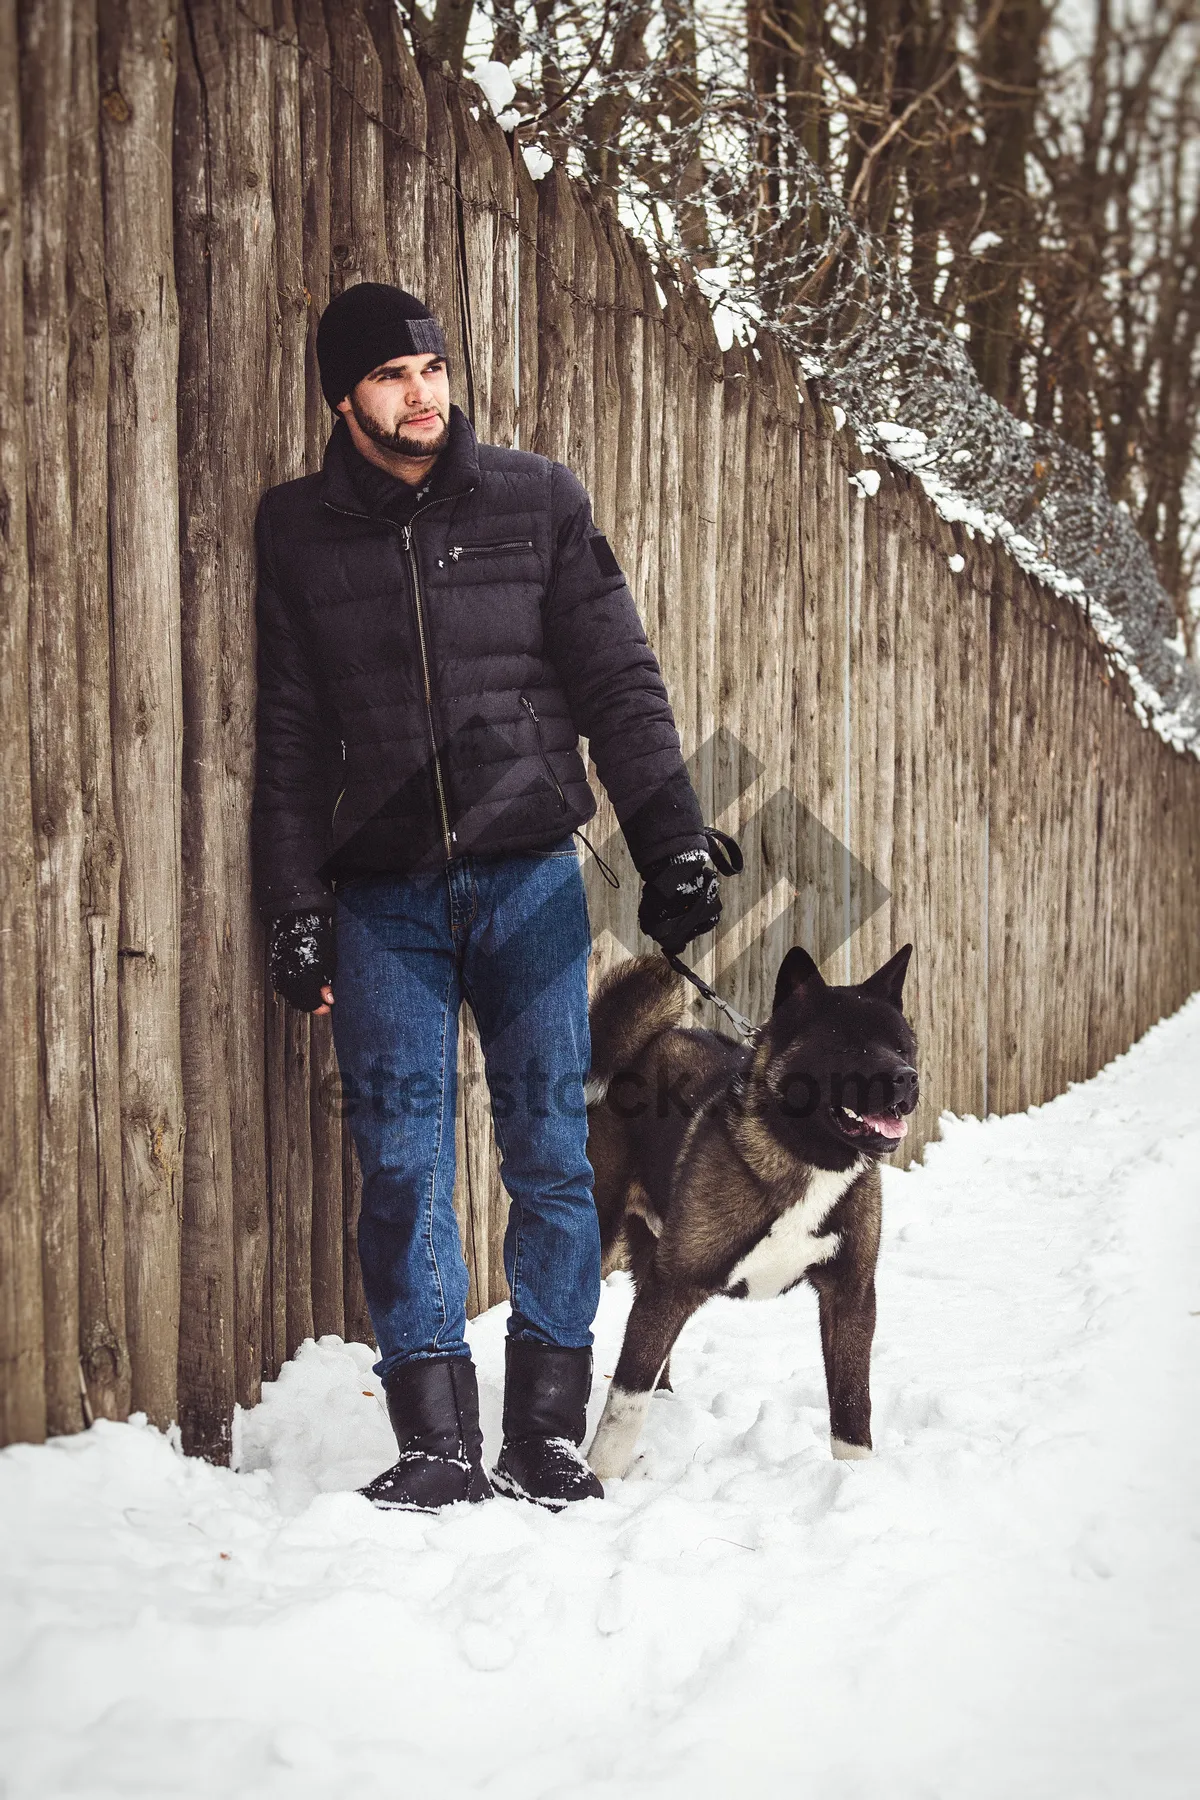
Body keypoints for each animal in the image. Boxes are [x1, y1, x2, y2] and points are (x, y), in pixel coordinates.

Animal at [582, 943, 921, 1476]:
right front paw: (601, 1477)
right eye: (850, 1048)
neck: (804, 1155)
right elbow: (625, 1401)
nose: (908, 1079)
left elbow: (852, 1403)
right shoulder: (674, 1285)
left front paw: (854, 1478)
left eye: (902, 1046)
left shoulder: (851, 1294)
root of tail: (646, 1044)